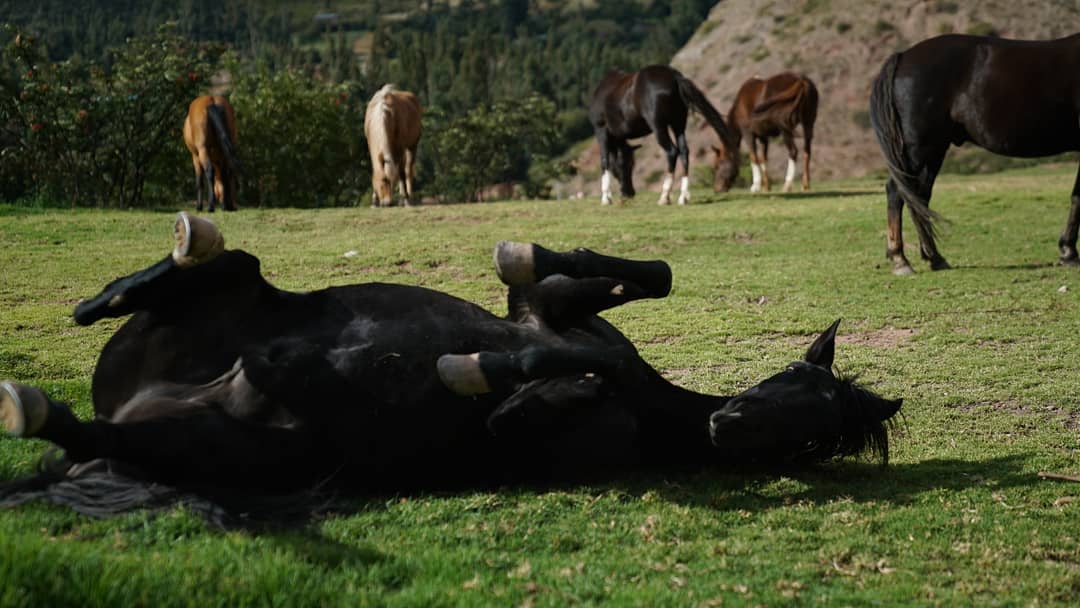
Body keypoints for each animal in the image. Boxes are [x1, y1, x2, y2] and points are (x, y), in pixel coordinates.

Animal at [591, 65, 743, 206]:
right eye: (631, 164)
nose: (629, 193)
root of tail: (674, 77)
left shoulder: (601, 129)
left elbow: (604, 161)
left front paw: (605, 198)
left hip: (659, 126)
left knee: (672, 152)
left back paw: (664, 196)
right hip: (678, 124)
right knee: (684, 152)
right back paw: (683, 197)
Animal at [868, 33, 1080, 276]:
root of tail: (903, 57)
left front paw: (1068, 251)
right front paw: (1069, 252)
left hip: (933, 152)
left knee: (919, 197)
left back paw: (935, 258)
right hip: (919, 149)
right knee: (897, 192)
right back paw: (900, 260)